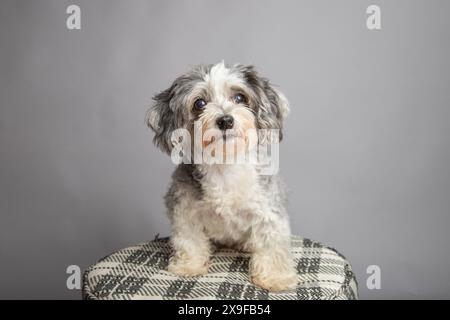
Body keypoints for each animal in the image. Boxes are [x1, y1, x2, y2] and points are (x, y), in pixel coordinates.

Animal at [146, 61, 298, 292]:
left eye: (239, 98)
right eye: (199, 103)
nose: (225, 120)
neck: (224, 164)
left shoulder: (269, 211)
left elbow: (272, 245)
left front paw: (275, 277)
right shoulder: (185, 209)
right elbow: (189, 240)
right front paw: (189, 266)